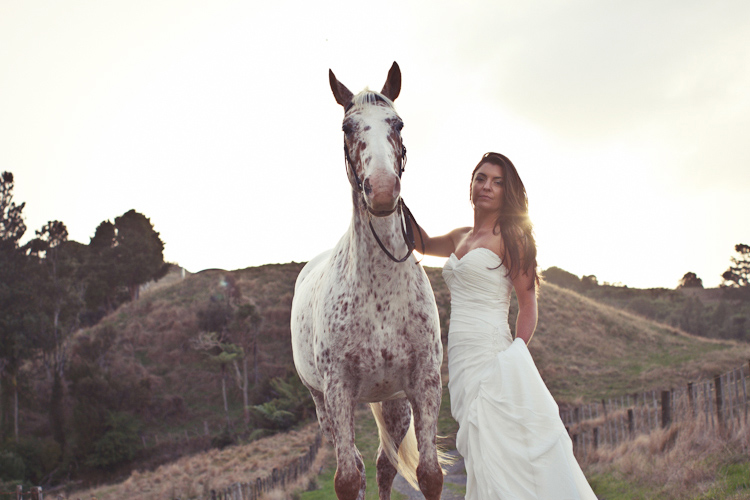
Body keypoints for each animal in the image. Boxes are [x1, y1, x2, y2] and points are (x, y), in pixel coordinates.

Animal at [290, 62, 445, 500]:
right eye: (347, 127)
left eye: (398, 123)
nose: (382, 190)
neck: (381, 294)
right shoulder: (338, 390)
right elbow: (346, 479)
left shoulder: (424, 383)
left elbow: (428, 475)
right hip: (324, 404)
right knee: (358, 466)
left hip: (394, 402)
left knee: (383, 465)